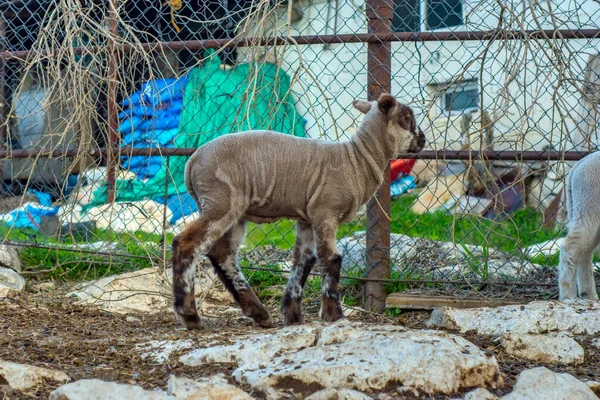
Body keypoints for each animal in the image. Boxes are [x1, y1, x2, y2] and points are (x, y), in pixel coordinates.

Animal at [170, 93, 426, 328]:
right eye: (406, 118)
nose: (423, 140)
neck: (357, 159)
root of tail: (192, 161)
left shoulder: (307, 217)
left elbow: (304, 261)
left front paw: (292, 315)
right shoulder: (325, 211)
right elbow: (331, 259)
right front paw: (333, 314)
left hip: (233, 209)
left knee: (223, 254)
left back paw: (259, 313)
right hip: (222, 200)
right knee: (187, 244)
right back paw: (190, 315)